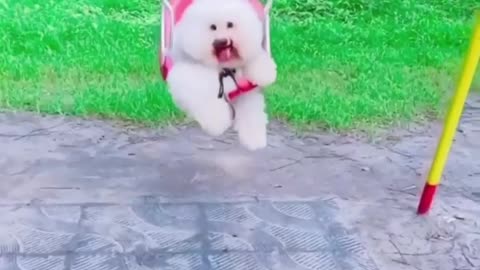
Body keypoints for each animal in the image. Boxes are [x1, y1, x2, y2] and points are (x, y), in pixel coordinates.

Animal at [167, 0, 276, 151]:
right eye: (212, 27)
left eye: (230, 24)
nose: (222, 41)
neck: (224, 68)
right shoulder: (188, 77)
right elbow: (205, 101)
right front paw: (217, 124)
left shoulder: (246, 91)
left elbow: (252, 112)